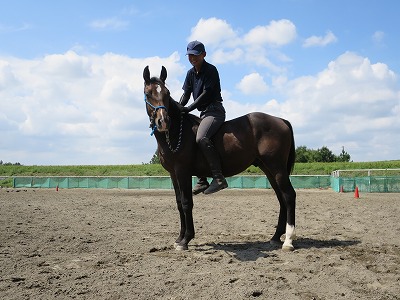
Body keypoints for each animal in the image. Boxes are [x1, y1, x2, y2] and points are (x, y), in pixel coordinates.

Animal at [142, 65, 296, 251]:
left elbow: (186, 203)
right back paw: (275, 237)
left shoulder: (182, 171)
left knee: (289, 195)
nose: (163, 121)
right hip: (269, 169)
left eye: (167, 92)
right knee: (281, 198)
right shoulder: (173, 173)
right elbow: (179, 203)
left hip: (277, 168)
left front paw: (186, 240)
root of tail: (281, 120)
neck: (176, 131)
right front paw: (179, 238)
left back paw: (288, 241)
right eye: (148, 93)